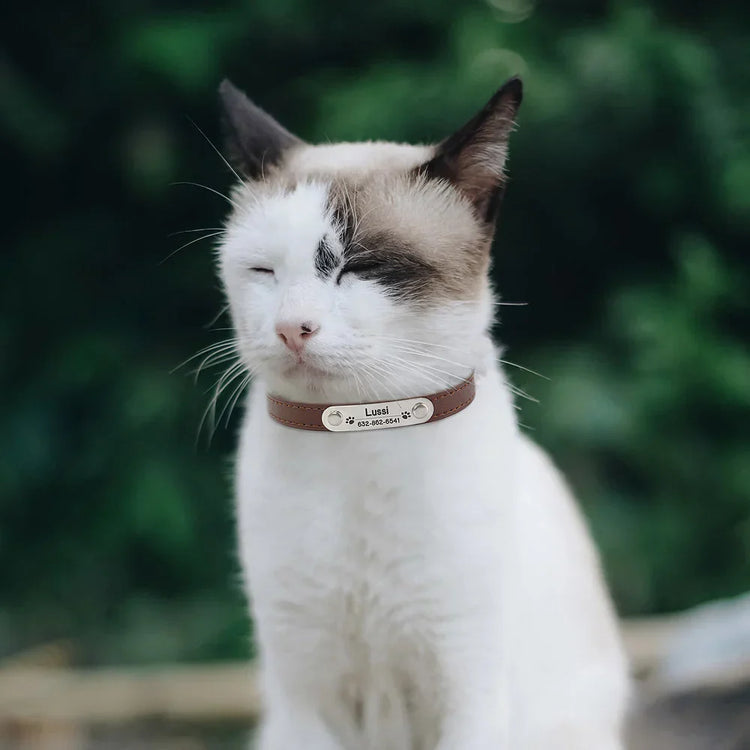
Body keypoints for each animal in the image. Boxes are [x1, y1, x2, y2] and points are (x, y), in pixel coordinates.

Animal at [214, 78, 632, 750]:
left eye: (359, 267)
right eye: (264, 272)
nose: (290, 328)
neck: (358, 426)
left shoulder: (467, 693)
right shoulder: (307, 704)